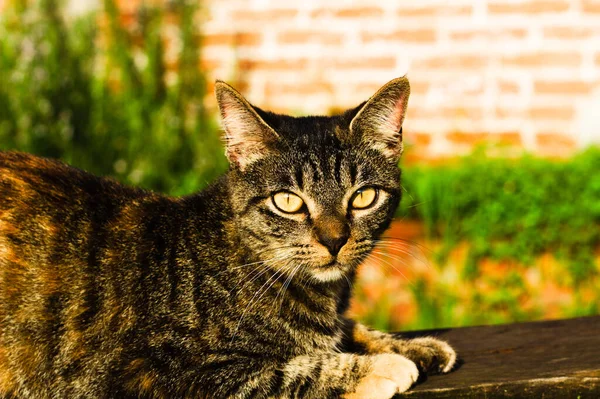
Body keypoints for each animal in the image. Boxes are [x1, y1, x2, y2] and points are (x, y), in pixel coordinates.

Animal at [0, 76, 454, 398]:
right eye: (288, 201)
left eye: (363, 196)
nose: (334, 240)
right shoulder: (150, 375)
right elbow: (286, 372)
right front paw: (383, 365)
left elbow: (347, 330)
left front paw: (414, 346)